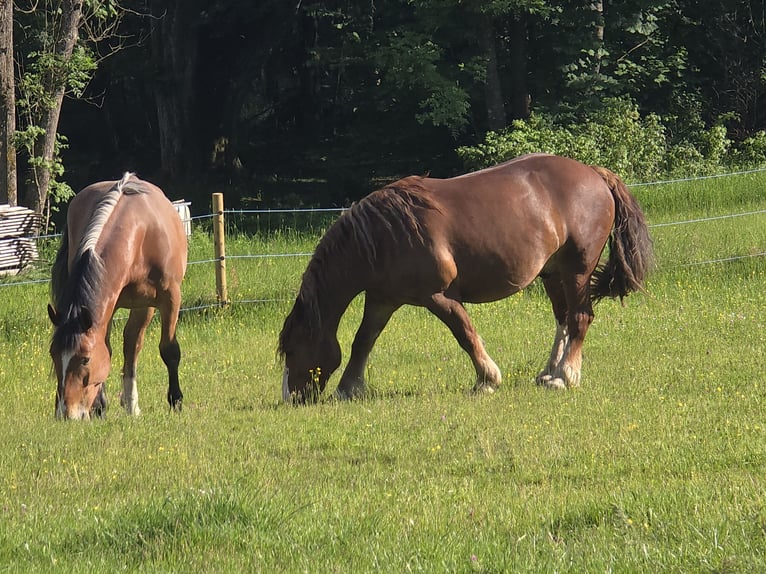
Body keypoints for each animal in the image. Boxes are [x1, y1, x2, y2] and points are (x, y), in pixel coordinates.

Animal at [48, 173, 188, 420]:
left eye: (85, 359)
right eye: (53, 354)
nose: (66, 413)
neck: (141, 236)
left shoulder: (170, 297)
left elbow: (169, 350)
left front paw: (176, 401)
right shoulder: (107, 305)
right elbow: (107, 349)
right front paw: (99, 407)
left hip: (145, 305)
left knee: (133, 345)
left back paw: (132, 404)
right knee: (130, 344)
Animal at [282, 154, 656, 404]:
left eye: (293, 348)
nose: (291, 397)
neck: (383, 235)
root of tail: (594, 173)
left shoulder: (438, 296)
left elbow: (465, 335)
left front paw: (487, 380)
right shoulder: (382, 300)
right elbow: (363, 341)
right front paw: (348, 389)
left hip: (577, 270)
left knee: (580, 317)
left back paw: (566, 376)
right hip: (553, 272)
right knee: (563, 319)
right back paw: (549, 372)